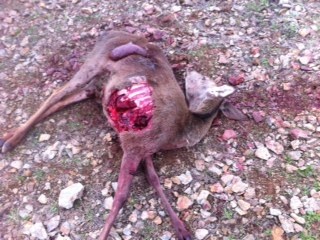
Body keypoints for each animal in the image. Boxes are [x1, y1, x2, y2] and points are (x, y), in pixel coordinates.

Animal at [0, 31, 246, 239]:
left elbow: (154, 180)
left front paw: (182, 229)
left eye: (202, 81)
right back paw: (11, 141)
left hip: (101, 85)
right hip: (94, 61)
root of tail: (110, 33)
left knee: (79, 93)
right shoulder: (134, 144)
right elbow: (121, 196)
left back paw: (8, 136)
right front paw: (102, 235)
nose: (191, 71)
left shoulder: (144, 148)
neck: (177, 134)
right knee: (57, 93)